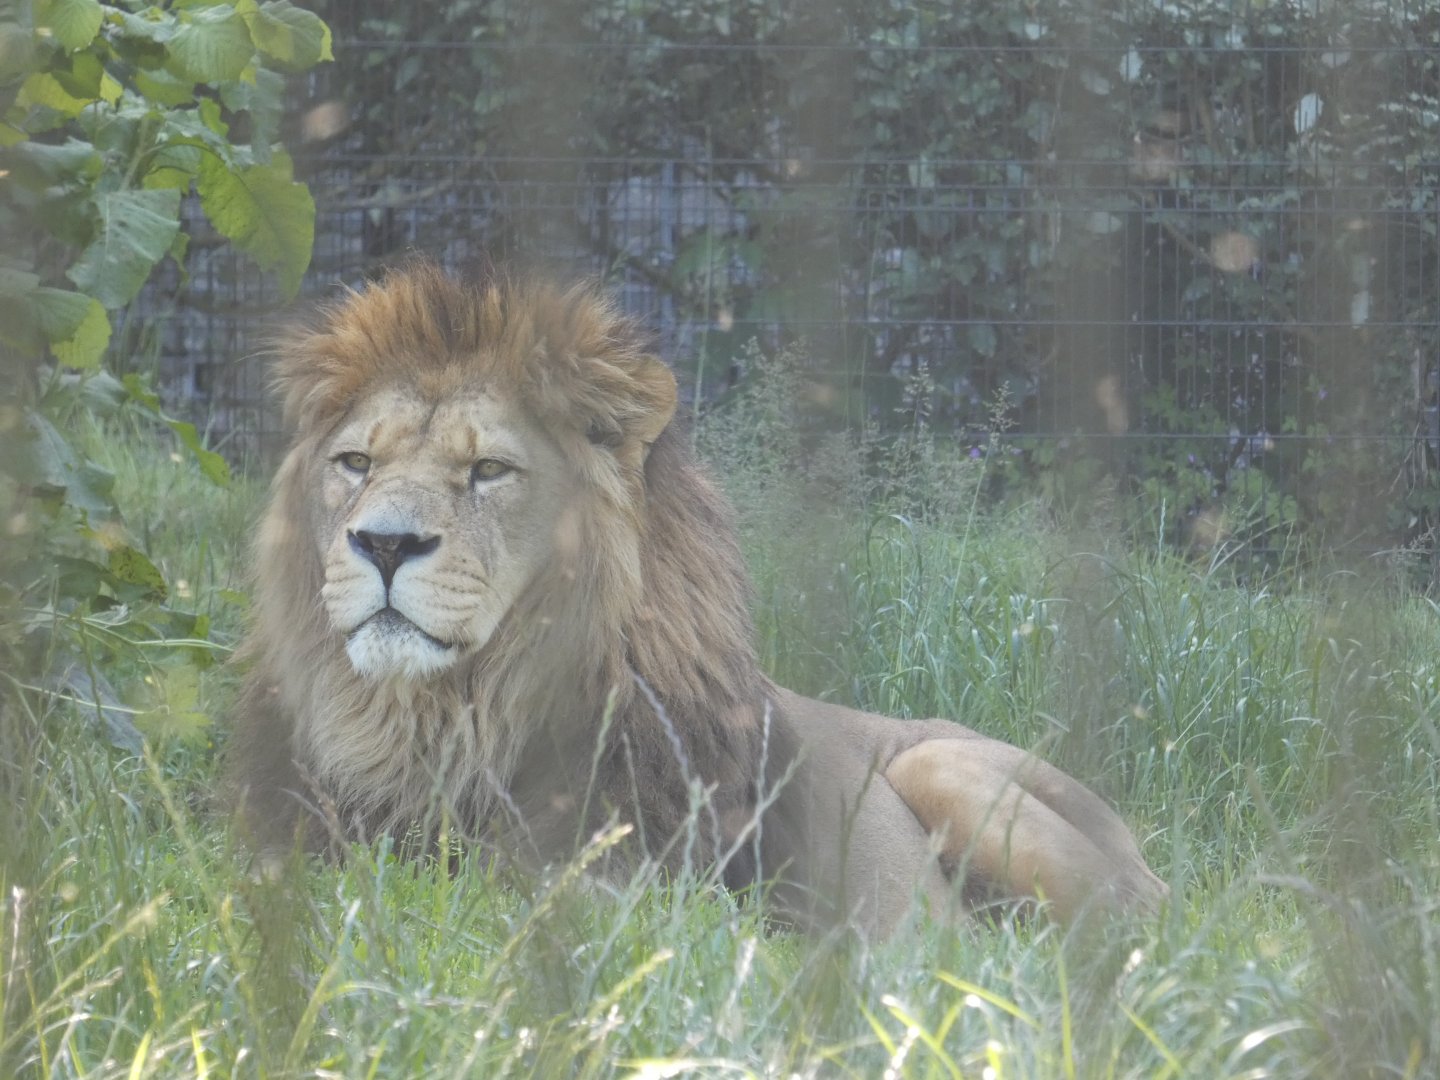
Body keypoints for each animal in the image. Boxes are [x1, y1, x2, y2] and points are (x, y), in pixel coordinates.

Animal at [229, 260, 1166, 937]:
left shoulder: (656, 890)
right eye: (357, 463)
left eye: (489, 469)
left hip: (944, 769)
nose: (383, 544)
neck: (446, 718)